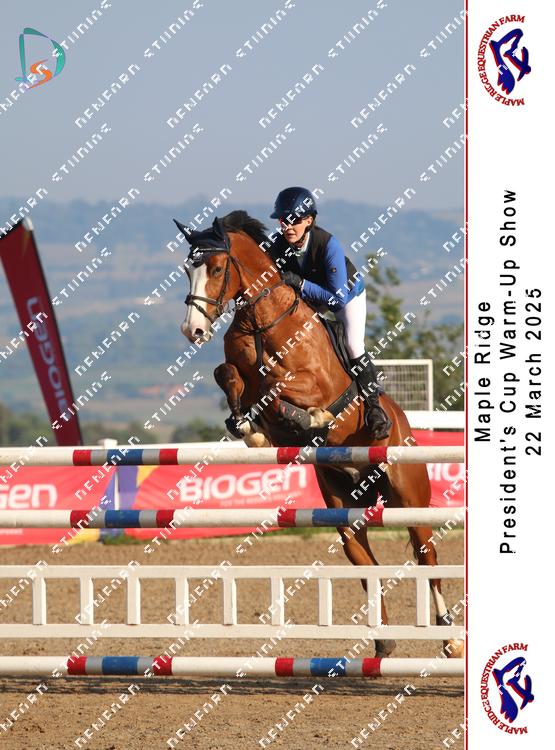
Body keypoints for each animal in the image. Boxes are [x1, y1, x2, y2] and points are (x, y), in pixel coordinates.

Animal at [176, 210, 463, 659]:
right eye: (188, 270)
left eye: (218, 269)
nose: (193, 330)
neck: (263, 320)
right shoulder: (239, 371)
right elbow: (230, 376)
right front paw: (248, 428)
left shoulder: (312, 382)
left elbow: (279, 390)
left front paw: (307, 419)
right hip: (345, 511)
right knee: (367, 562)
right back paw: (383, 641)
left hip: (409, 500)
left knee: (427, 558)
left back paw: (450, 638)